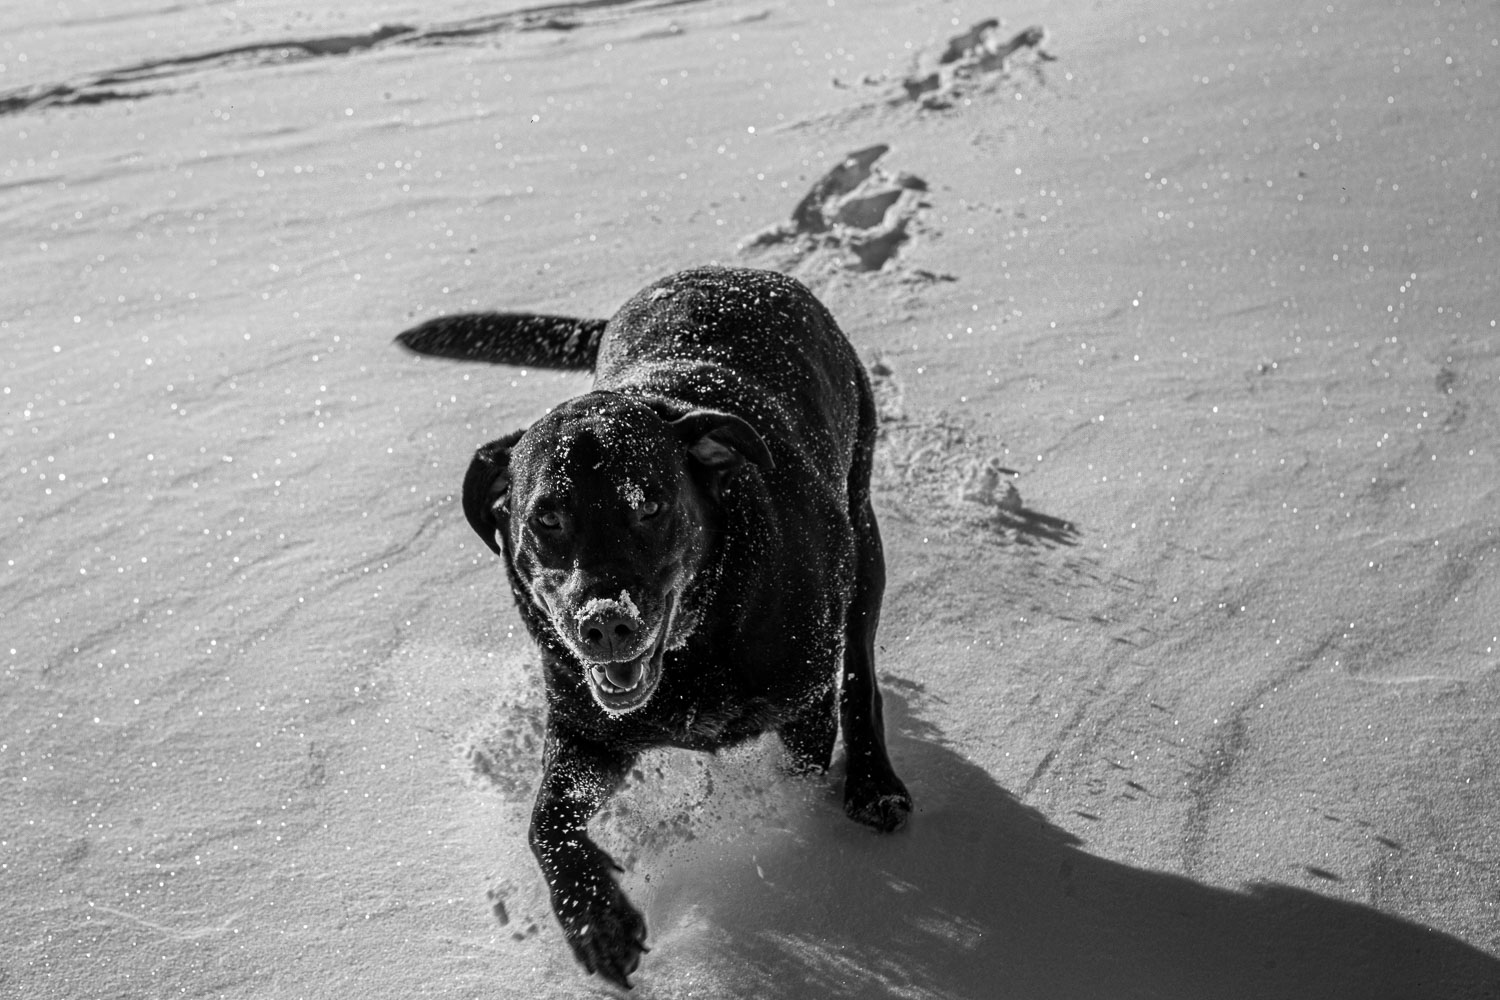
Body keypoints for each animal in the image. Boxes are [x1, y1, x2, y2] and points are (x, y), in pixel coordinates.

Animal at [399, 263, 906, 983]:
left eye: (649, 505)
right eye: (546, 519)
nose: (605, 623)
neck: (700, 636)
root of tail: (733, 273)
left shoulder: (803, 710)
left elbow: (799, 769)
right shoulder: (586, 730)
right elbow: (545, 821)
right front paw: (593, 916)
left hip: (861, 536)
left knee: (860, 671)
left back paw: (873, 783)